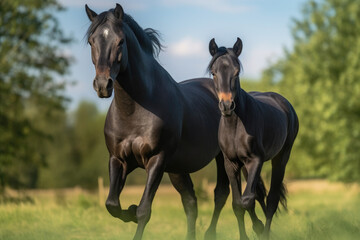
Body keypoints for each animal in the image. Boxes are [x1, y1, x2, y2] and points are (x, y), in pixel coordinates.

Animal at [84, 3, 231, 240]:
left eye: (120, 41)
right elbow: (111, 204)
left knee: (221, 194)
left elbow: (144, 210)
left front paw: (134, 210)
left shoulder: (156, 159)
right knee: (191, 202)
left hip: (222, 158)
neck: (135, 109)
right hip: (178, 169)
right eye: (91, 41)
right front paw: (129, 210)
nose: (103, 85)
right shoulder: (118, 159)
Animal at [207, 38, 300, 239]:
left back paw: (265, 231)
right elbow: (238, 204)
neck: (235, 126)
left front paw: (259, 229)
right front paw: (250, 231)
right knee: (260, 194)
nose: (227, 106)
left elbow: (247, 200)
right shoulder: (231, 164)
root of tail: (284, 103)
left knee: (272, 199)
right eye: (213, 72)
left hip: (281, 158)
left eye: (236, 71)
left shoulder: (255, 160)